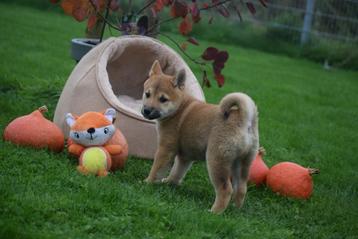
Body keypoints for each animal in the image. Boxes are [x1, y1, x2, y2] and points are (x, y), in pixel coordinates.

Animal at [141, 60, 258, 214]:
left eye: (163, 99)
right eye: (147, 94)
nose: (147, 110)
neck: (179, 108)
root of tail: (244, 120)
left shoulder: (165, 149)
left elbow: (156, 168)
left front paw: (148, 182)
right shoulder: (184, 157)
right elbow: (177, 172)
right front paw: (169, 182)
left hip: (216, 160)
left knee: (226, 189)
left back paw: (214, 212)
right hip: (242, 163)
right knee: (242, 188)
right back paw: (235, 209)